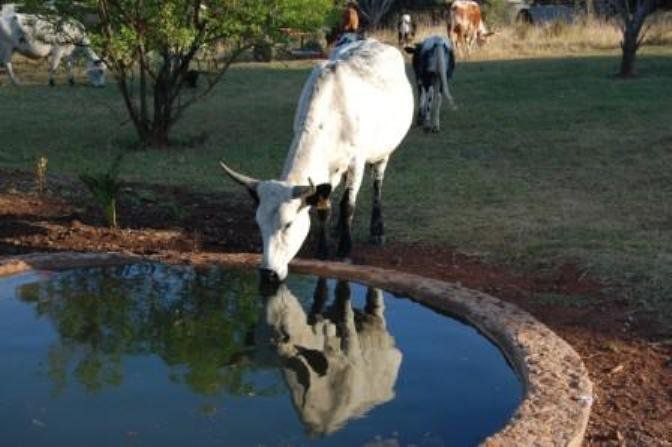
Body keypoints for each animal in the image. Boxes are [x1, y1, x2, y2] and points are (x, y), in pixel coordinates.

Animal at [219, 39, 414, 284]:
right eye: (258, 223)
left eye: (288, 224)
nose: (267, 273)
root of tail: (375, 42)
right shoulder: (325, 174)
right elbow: (324, 207)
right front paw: (323, 249)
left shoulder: (356, 162)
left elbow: (348, 205)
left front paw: (345, 249)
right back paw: (340, 228)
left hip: (383, 152)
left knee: (377, 184)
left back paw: (377, 231)